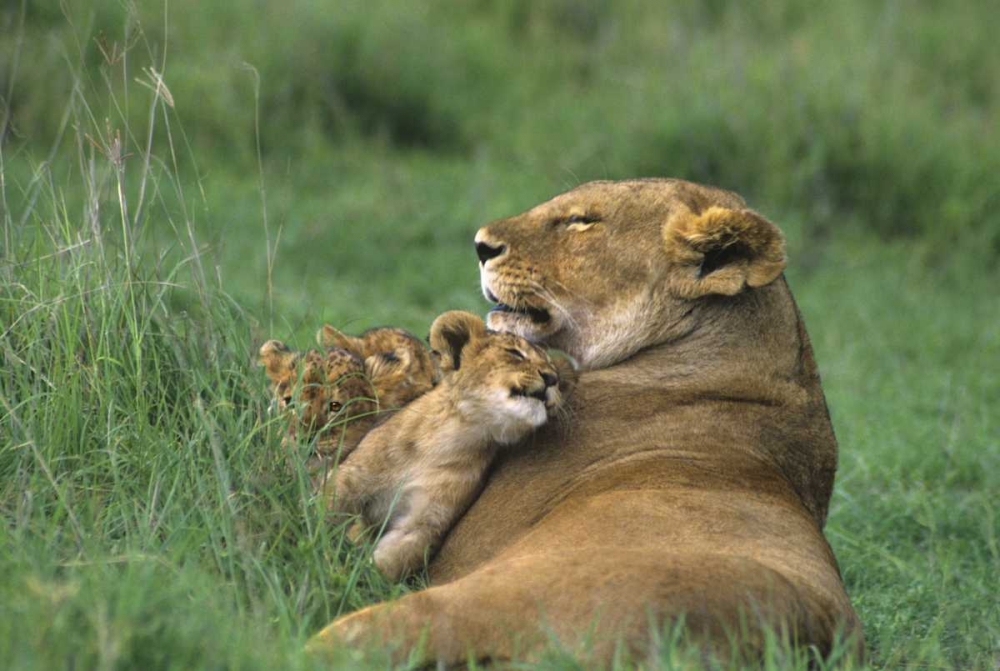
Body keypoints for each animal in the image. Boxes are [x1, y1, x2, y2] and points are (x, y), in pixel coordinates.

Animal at [332, 310, 576, 581]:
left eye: (555, 371)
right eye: (515, 353)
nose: (552, 378)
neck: (454, 435)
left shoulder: (424, 524)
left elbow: (385, 564)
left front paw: (351, 579)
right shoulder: (348, 481)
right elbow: (320, 516)